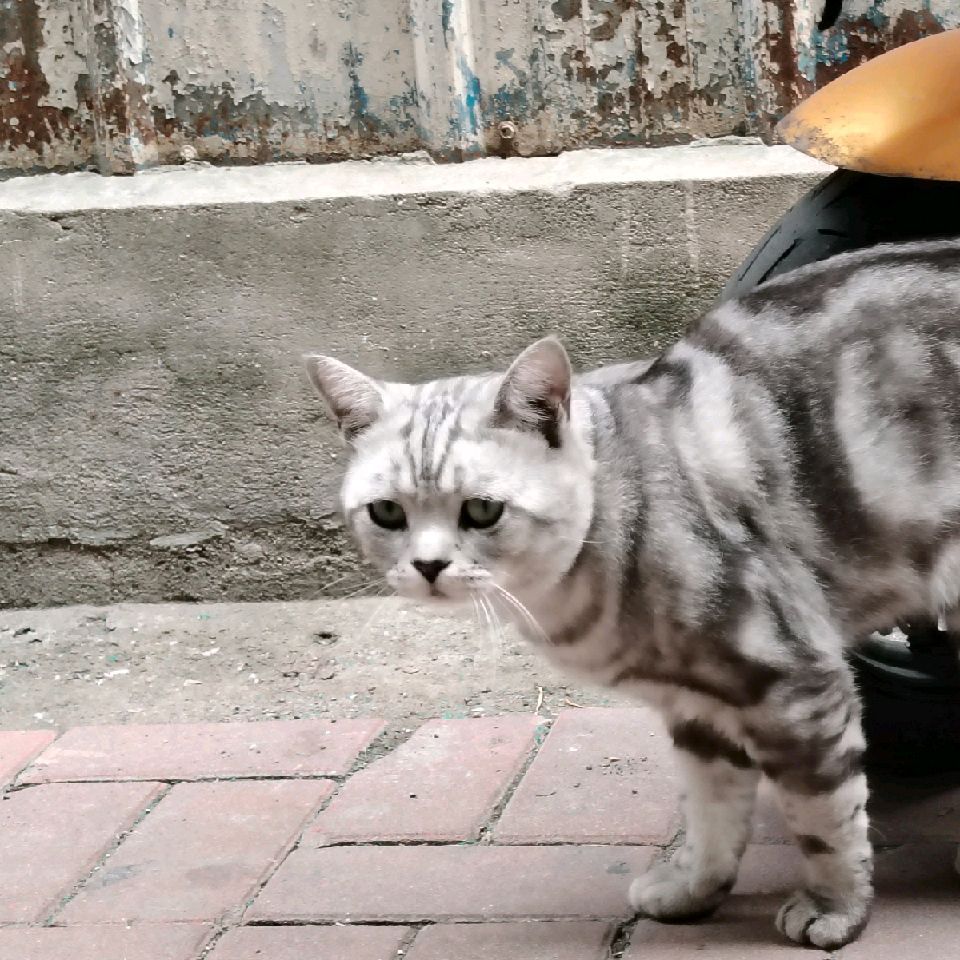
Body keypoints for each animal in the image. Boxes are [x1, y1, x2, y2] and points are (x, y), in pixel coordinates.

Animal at [304, 239, 960, 950]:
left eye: (481, 510)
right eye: (387, 513)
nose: (427, 565)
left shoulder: (794, 677)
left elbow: (824, 816)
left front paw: (834, 907)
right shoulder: (701, 707)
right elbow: (711, 814)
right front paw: (693, 889)